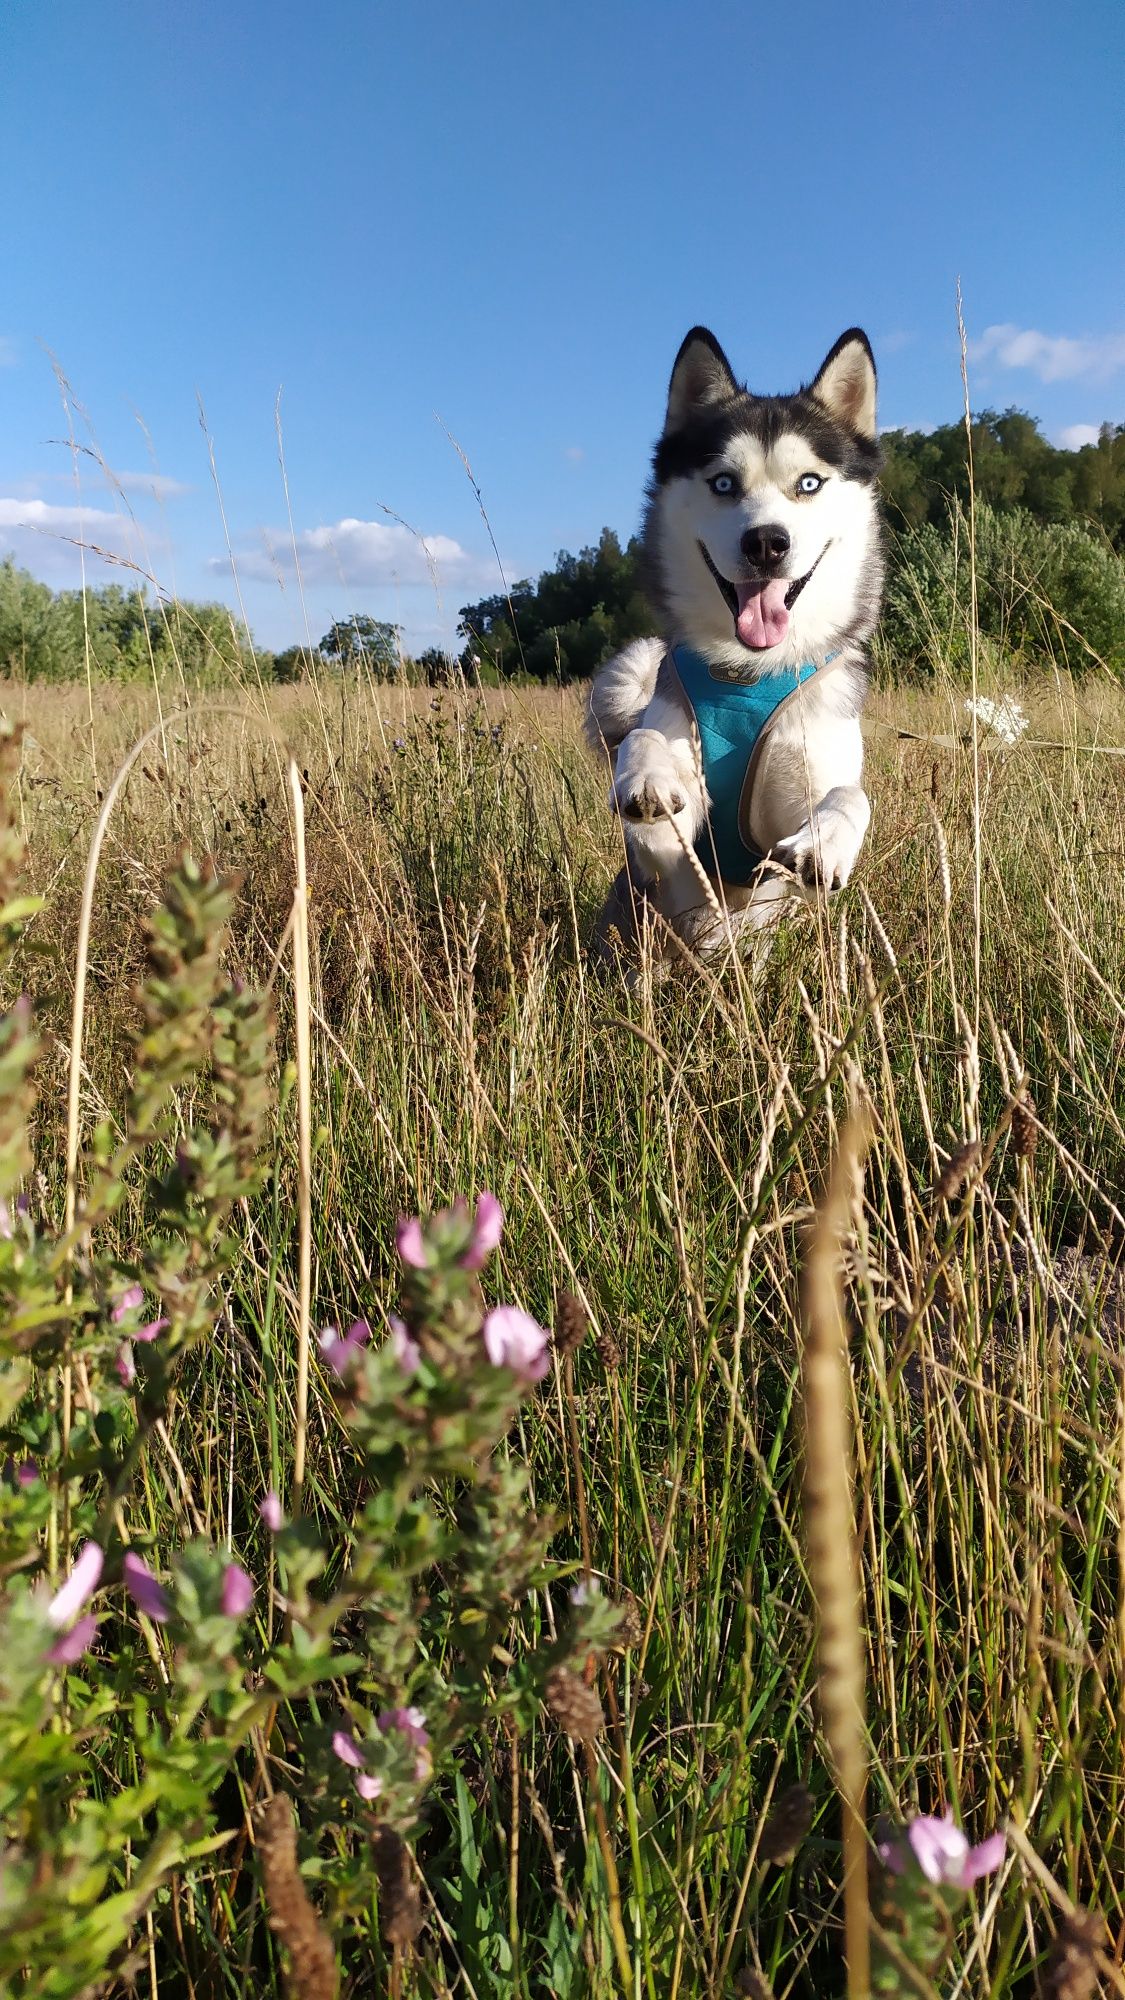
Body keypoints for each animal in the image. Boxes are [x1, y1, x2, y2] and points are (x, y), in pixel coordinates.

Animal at [580, 324, 880, 964]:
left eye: (809, 483)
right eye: (723, 482)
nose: (766, 542)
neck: (746, 675)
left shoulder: (790, 846)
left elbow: (849, 794)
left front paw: (825, 842)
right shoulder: (670, 860)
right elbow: (645, 737)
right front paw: (647, 776)